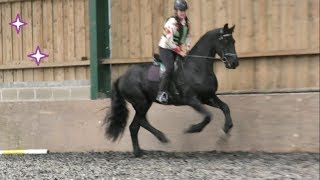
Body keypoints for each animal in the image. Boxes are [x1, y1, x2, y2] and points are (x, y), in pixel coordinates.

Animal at [104, 23, 239, 156]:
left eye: (233, 41)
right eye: (225, 41)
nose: (234, 63)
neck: (196, 68)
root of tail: (122, 77)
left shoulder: (208, 97)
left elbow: (225, 107)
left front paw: (225, 131)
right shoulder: (191, 100)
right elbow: (208, 116)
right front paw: (192, 129)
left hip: (145, 103)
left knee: (138, 124)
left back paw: (146, 147)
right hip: (141, 103)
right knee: (138, 123)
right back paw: (152, 143)